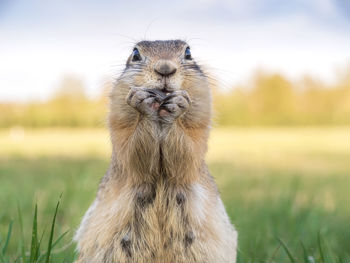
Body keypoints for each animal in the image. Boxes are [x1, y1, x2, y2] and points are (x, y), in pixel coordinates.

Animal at [74, 39, 238, 263]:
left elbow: (189, 153)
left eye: (188, 53)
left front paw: (177, 105)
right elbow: (131, 153)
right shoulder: (119, 121)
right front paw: (144, 103)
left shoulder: (200, 120)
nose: (165, 68)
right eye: (135, 53)